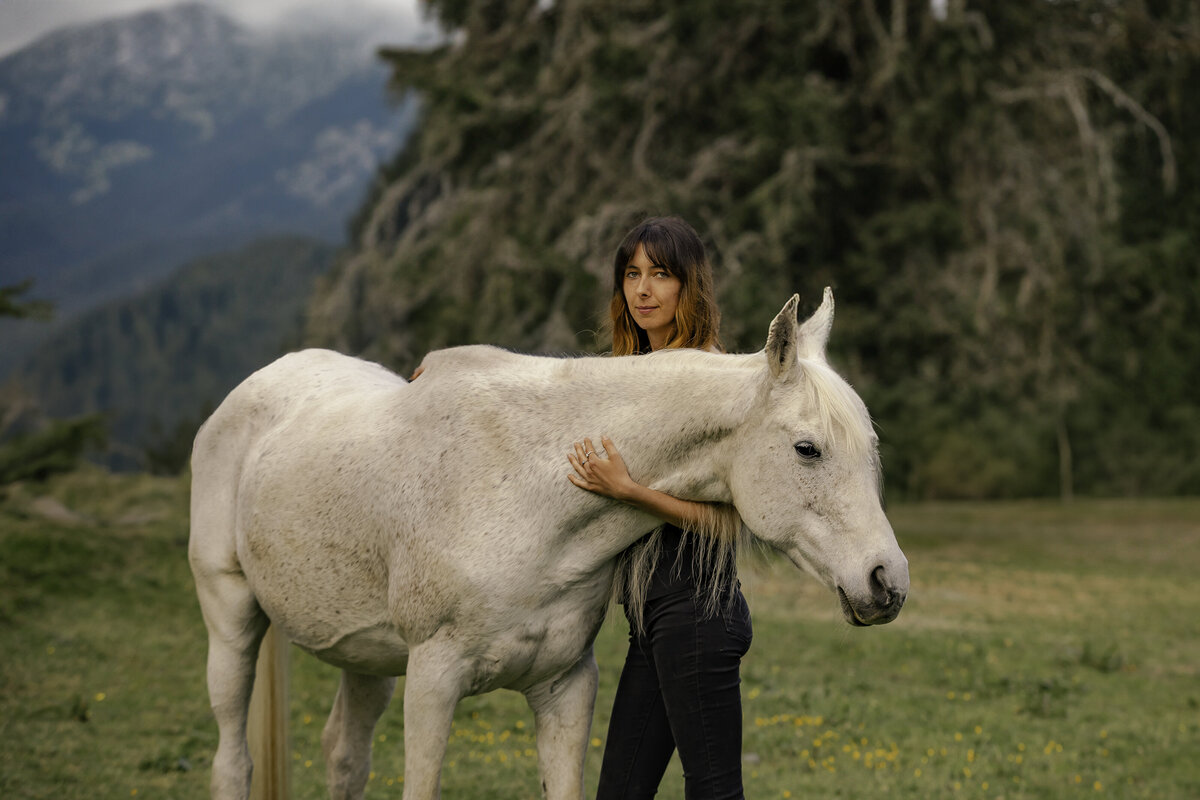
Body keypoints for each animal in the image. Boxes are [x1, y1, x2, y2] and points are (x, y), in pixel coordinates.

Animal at [187, 291, 902, 800]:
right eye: (807, 449)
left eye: (872, 447)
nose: (887, 582)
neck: (533, 491)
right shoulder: (433, 681)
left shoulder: (565, 687)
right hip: (232, 618)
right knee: (231, 762)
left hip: (366, 656)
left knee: (344, 756)